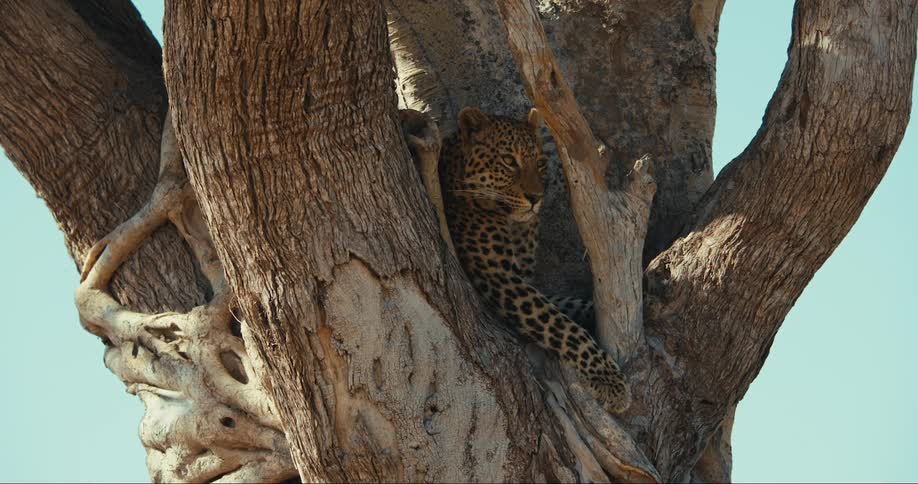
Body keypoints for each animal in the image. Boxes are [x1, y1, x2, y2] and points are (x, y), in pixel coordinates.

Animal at [439, 106, 630, 413]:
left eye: (540, 163)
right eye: (508, 160)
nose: (535, 198)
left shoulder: (523, 279)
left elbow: (566, 305)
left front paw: (592, 308)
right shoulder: (501, 279)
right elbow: (560, 325)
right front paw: (609, 381)